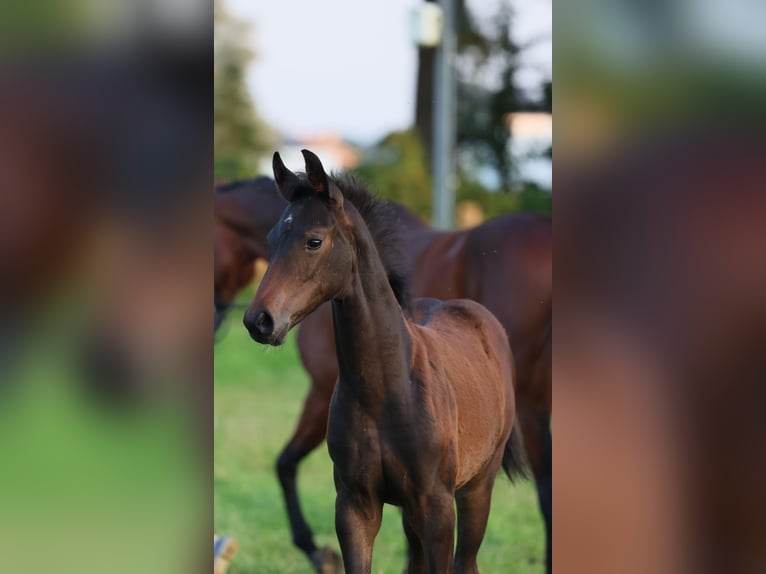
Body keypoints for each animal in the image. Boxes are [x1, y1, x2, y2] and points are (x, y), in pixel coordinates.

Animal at [214, 174, 552, 572]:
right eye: (271, 238)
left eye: (314, 240)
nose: (259, 320)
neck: (387, 387)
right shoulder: (355, 506)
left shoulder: (437, 507)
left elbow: (285, 464)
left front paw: (318, 553)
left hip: (479, 485)